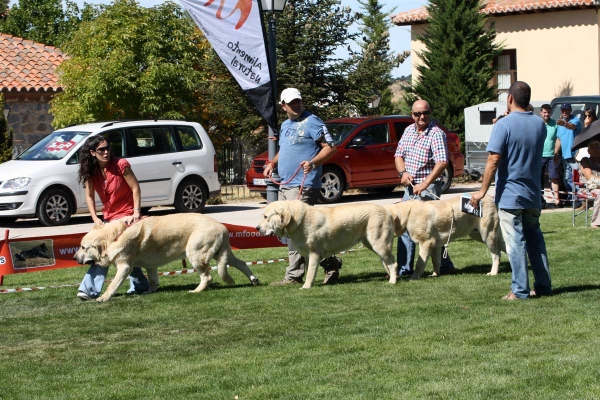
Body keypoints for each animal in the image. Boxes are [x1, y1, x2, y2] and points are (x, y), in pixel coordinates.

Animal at [74, 214, 258, 302]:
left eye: (83, 248)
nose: (75, 257)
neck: (114, 237)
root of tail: (223, 228)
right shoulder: (151, 266)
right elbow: (153, 279)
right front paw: (150, 290)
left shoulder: (124, 266)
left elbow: (112, 285)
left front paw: (103, 298)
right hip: (222, 254)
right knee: (241, 263)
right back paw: (254, 280)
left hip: (195, 254)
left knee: (207, 276)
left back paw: (196, 290)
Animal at [256, 200, 398, 288]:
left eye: (265, 217)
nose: (257, 228)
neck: (297, 221)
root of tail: (387, 211)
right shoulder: (307, 255)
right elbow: (309, 271)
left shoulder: (314, 253)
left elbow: (310, 272)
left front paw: (306, 287)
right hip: (371, 244)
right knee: (389, 261)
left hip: (379, 244)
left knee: (393, 263)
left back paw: (392, 281)